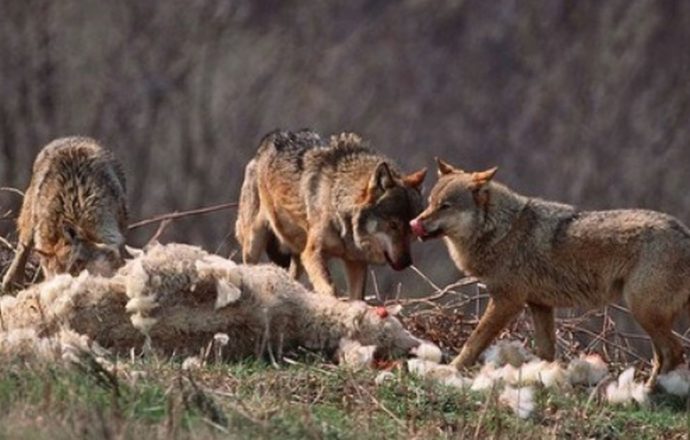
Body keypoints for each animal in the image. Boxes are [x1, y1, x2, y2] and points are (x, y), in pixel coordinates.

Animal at [236, 128, 424, 300]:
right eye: (393, 225)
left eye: (411, 227)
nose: (407, 262)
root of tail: (270, 138)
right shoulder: (313, 253)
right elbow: (330, 289)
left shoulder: (356, 263)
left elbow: (358, 298)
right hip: (254, 243)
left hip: (297, 253)